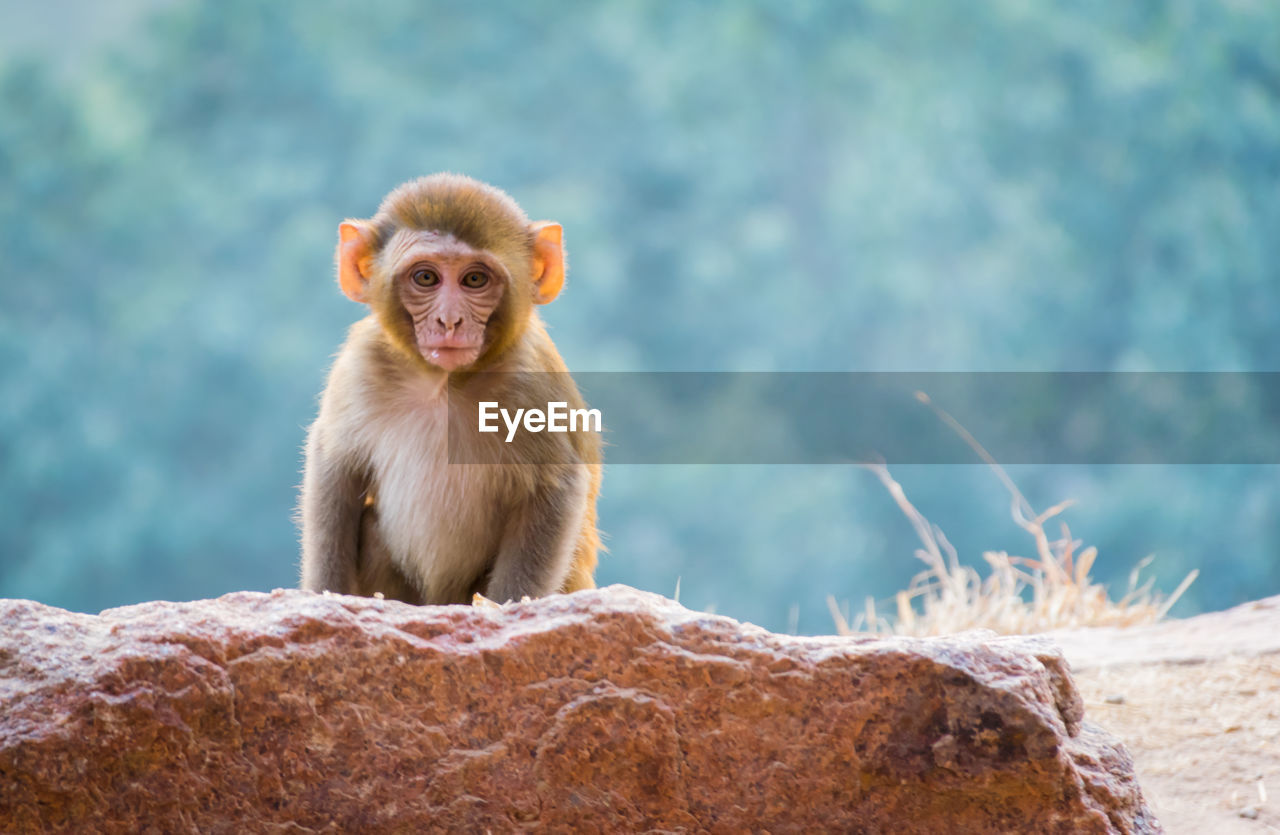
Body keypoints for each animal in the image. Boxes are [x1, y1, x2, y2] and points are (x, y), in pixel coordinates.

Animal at [296, 172, 601, 604]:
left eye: (475, 279)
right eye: (426, 278)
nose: (450, 321)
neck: (443, 383)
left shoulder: (532, 381)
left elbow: (556, 487)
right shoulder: (359, 365)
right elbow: (336, 469)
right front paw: (325, 596)